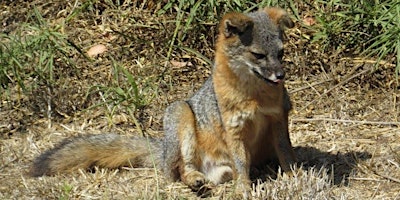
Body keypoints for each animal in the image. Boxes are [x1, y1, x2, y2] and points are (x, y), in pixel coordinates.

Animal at [29, 6, 296, 197]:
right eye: (258, 55)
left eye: (281, 53)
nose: (280, 75)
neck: (254, 97)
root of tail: (163, 150)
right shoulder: (234, 129)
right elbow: (242, 164)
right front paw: (244, 189)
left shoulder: (278, 118)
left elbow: (286, 153)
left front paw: (295, 176)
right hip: (180, 115)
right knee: (180, 171)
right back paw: (194, 181)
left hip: (218, 164)